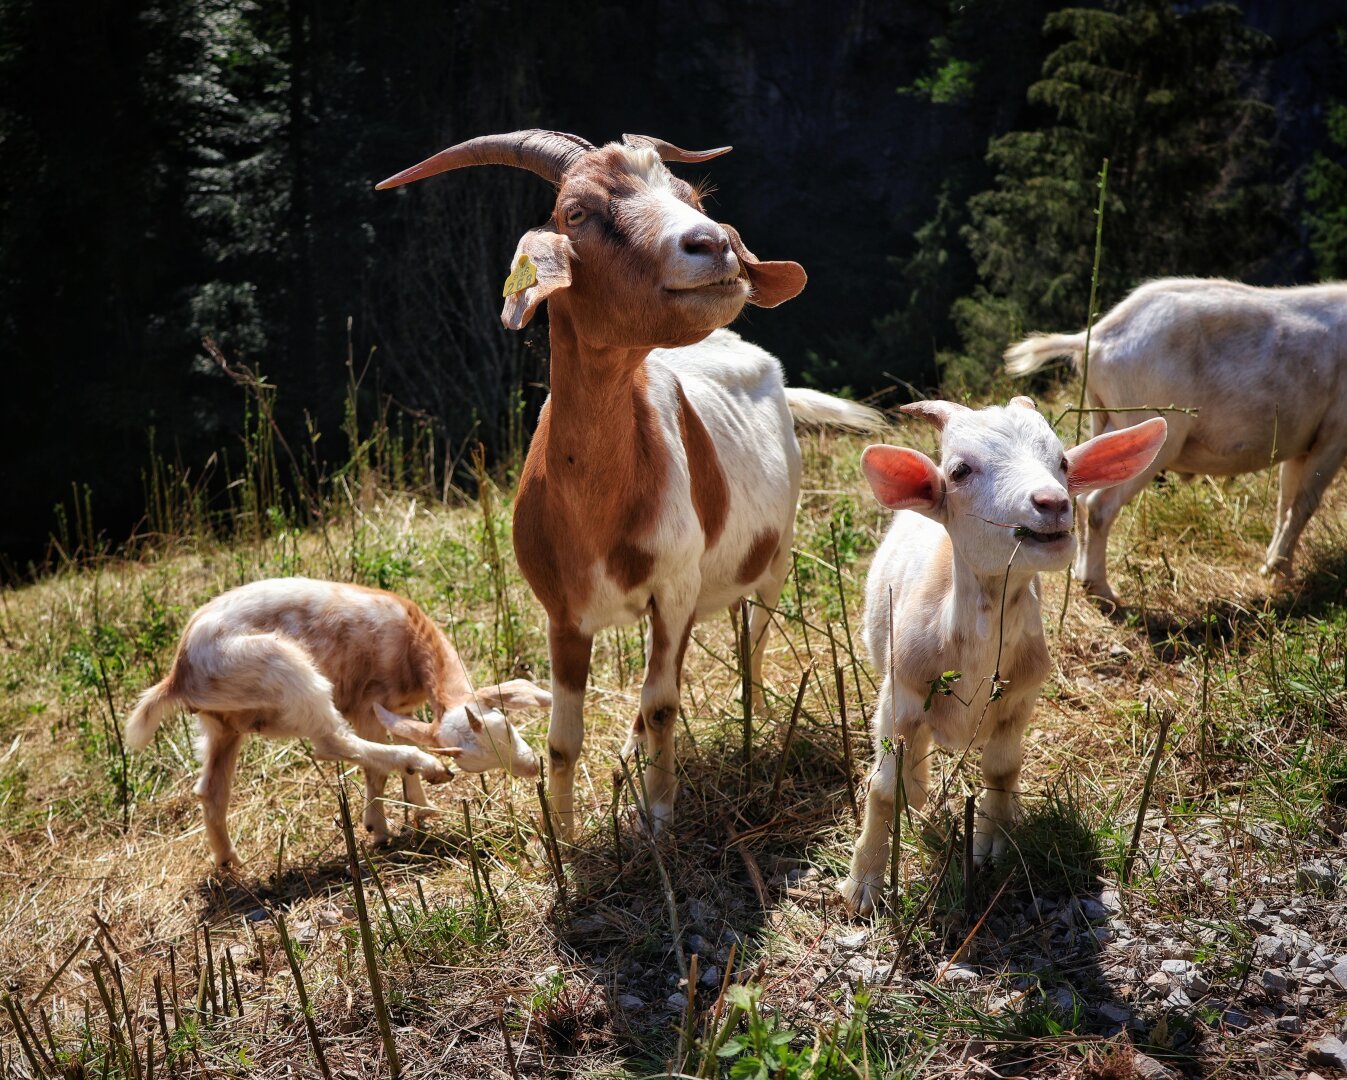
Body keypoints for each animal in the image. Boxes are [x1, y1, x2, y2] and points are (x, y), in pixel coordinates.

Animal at [125, 577, 550, 866]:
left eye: (507, 727)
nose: (532, 768)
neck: (410, 641)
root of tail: (179, 674)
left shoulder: (399, 709)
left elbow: (403, 742)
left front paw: (421, 808)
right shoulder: (367, 704)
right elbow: (377, 767)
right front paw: (380, 826)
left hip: (221, 723)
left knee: (211, 789)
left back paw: (228, 861)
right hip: (288, 673)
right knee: (332, 743)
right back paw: (425, 766)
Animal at [377, 129, 882, 840]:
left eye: (692, 196)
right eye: (578, 213)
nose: (714, 244)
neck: (598, 506)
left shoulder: (673, 590)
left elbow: (664, 705)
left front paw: (660, 817)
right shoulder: (563, 614)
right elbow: (563, 737)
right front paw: (562, 835)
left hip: (774, 557)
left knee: (751, 641)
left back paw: (750, 725)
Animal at [838, 398, 1166, 915]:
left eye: (1063, 462)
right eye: (959, 470)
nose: (1053, 503)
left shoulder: (1019, 699)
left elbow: (1001, 768)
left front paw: (991, 843)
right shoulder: (900, 694)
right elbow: (883, 787)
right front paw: (864, 884)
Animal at [1005, 277, 1347, 604]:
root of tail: (1098, 339)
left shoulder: (1303, 443)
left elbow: (1285, 501)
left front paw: (1274, 569)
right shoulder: (1335, 432)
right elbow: (1305, 502)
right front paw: (1281, 574)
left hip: (1107, 420)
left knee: (1085, 497)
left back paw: (1085, 577)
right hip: (1152, 428)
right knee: (1100, 505)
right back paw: (1103, 591)